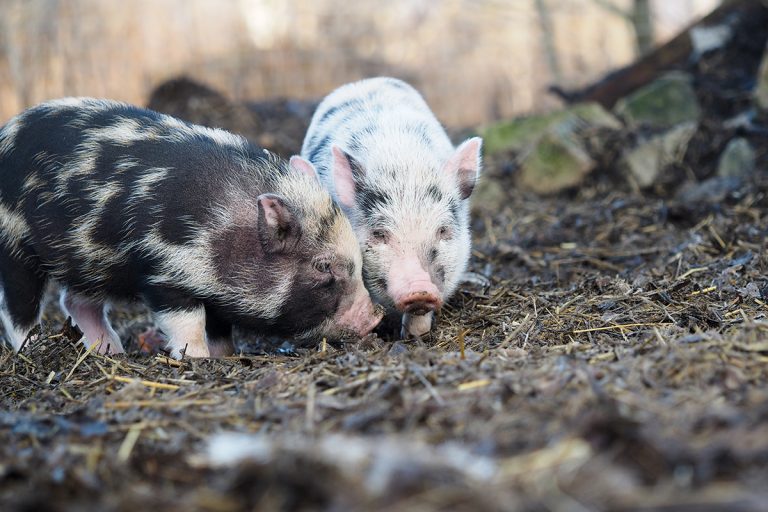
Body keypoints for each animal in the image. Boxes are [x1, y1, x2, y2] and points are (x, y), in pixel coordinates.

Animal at [0, 98, 382, 358]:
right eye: (323, 266)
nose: (376, 317)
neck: (224, 228)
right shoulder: (165, 272)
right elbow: (189, 323)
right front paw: (197, 360)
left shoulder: (217, 291)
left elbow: (220, 328)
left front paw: (226, 357)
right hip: (14, 244)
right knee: (17, 307)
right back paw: (32, 350)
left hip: (90, 262)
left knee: (75, 301)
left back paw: (112, 352)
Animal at [304, 78, 484, 338]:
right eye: (379, 234)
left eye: (442, 230)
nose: (420, 291)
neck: (404, 163)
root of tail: (364, 82)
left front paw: (414, 336)